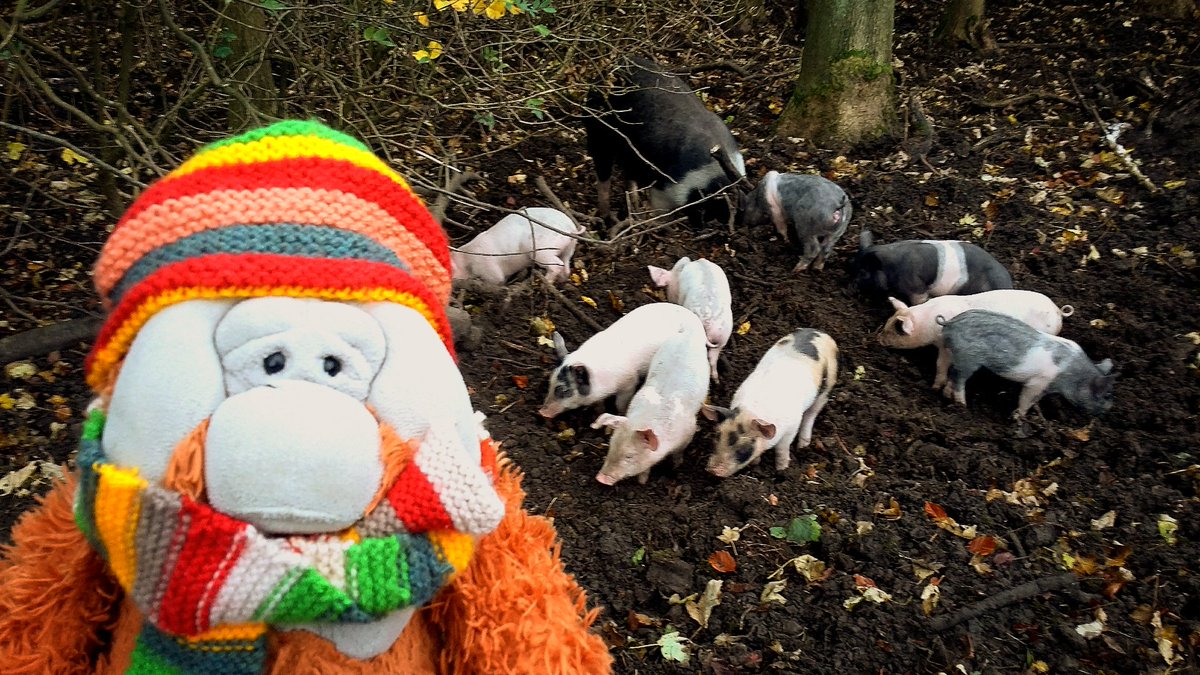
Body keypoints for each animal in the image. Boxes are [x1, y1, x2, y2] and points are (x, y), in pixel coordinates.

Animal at [585, 56, 744, 224]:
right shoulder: (665, 188)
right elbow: (660, 213)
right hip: (597, 131)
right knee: (603, 174)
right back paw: (606, 218)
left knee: (629, 176)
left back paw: (634, 210)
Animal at [936, 309, 1113, 415]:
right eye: (1104, 396)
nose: (1109, 408)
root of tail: (950, 322)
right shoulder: (1037, 382)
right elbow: (1026, 398)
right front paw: (1019, 416)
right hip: (968, 358)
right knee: (959, 379)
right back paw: (962, 406)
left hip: (957, 355)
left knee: (952, 373)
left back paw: (946, 394)